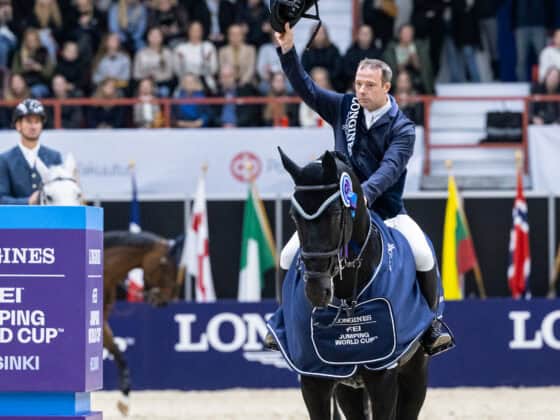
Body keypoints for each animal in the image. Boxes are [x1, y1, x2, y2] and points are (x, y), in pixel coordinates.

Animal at [270, 149, 438, 418]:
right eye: (293, 217)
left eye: (335, 214)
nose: (316, 290)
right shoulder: (314, 378)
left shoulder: (383, 378)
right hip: (347, 386)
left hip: (416, 371)